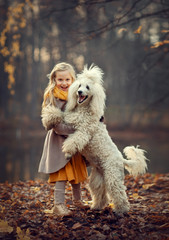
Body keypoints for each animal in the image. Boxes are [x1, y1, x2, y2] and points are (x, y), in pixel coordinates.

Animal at [42, 64, 148, 214]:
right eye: (79, 85)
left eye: (87, 87)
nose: (79, 92)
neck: (83, 109)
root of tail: (121, 159)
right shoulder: (69, 118)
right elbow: (58, 114)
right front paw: (48, 118)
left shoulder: (84, 131)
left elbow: (73, 140)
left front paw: (67, 151)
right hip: (98, 177)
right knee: (101, 194)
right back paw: (96, 207)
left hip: (112, 176)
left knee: (119, 193)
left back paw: (121, 210)